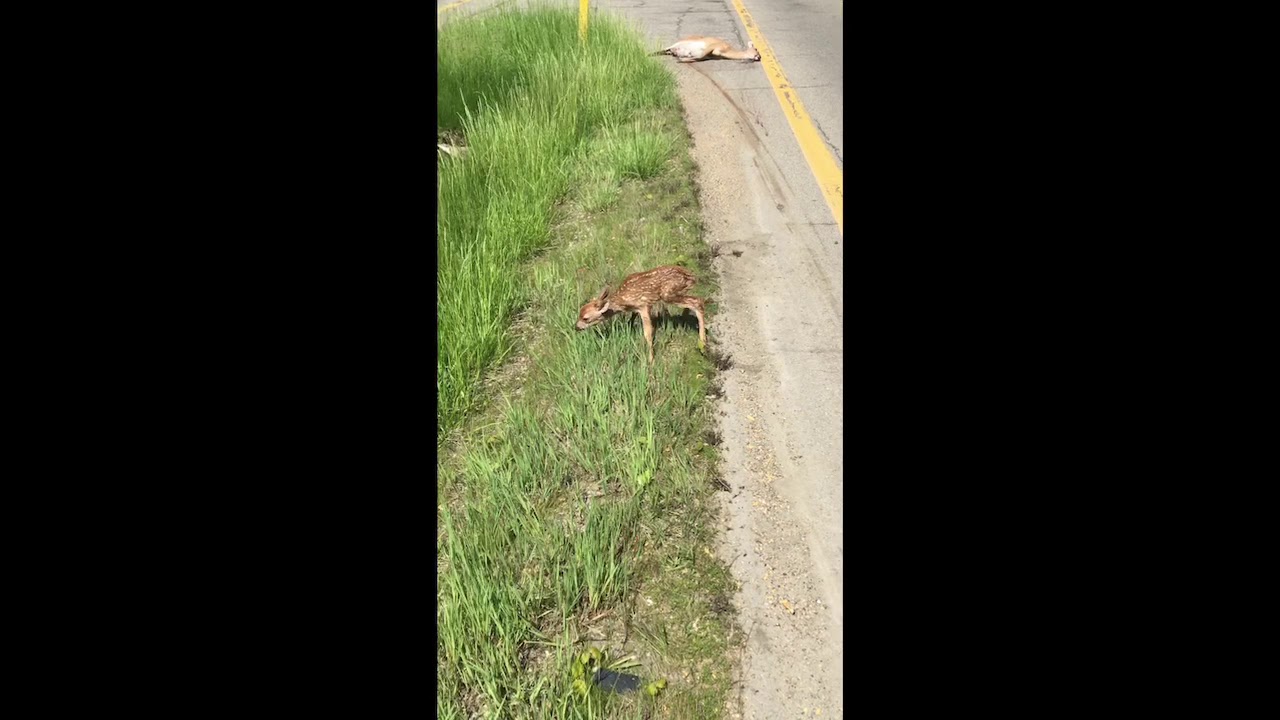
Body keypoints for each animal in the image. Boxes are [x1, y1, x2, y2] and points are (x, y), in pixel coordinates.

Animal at [575, 265, 708, 364]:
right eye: (579, 313)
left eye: (585, 318)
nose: (576, 327)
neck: (623, 301)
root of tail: (691, 277)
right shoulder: (637, 308)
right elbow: (633, 317)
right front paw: (629, 326)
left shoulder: (643, 305)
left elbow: (648, 333)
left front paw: (651, 360)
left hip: (668, 294)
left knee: (697, 302)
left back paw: (702, 342)